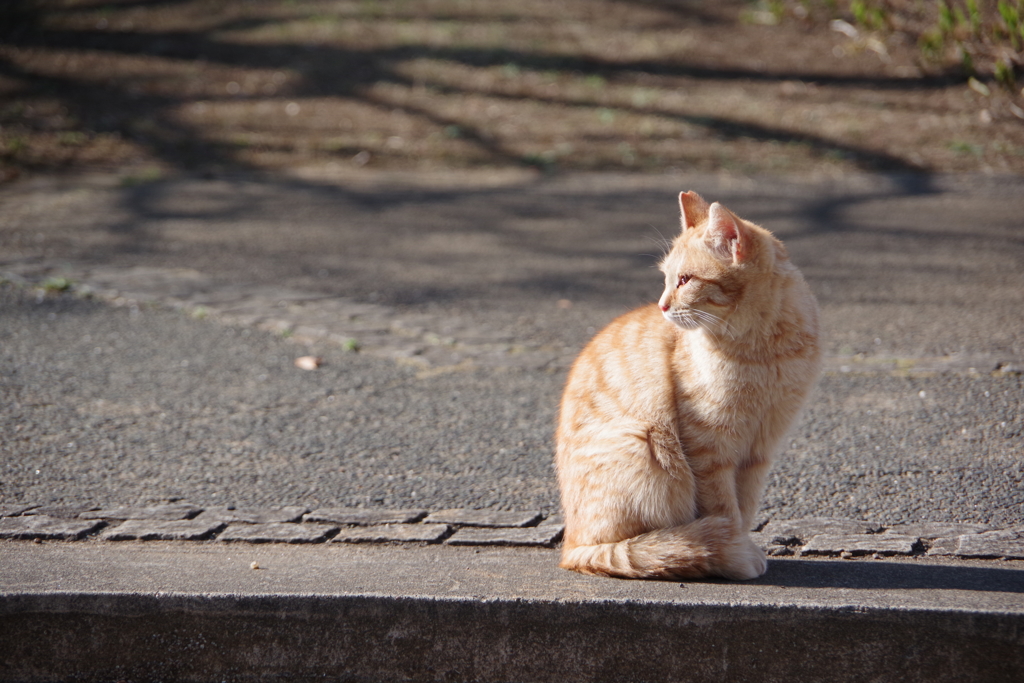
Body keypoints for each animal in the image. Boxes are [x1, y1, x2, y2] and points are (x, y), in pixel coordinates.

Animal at [557, 189, 819, 581]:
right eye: (667, 279)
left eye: (685, 280)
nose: (663, 306)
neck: (761, 351)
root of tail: (568, 548)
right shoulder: (709, 447)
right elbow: (725, 509)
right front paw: (735, 553)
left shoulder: (761, 449)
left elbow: (745, 507)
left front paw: (740, 545)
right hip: (644, 441)